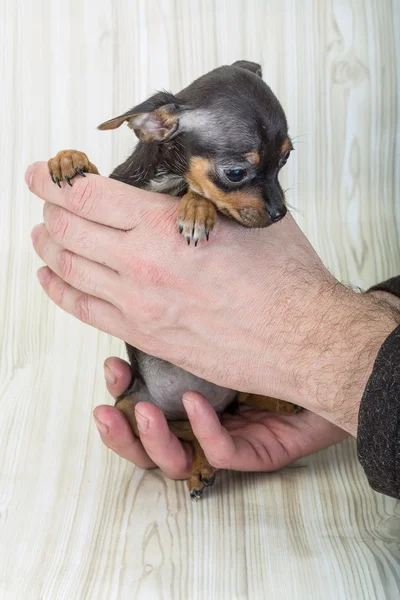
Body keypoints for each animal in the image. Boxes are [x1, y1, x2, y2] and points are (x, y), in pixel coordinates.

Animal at [47, 62, 300, 502]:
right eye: (237, 173)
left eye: (286, 159)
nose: (279, 213)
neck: (165, 181)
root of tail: (211, 407)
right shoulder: (120, 189)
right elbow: (93, 172)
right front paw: (68, 158)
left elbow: (194, 192)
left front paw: (196, 206)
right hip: (131, 406)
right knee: (190, 431)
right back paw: (202, 462)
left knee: (234, 403)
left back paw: (278, 404)